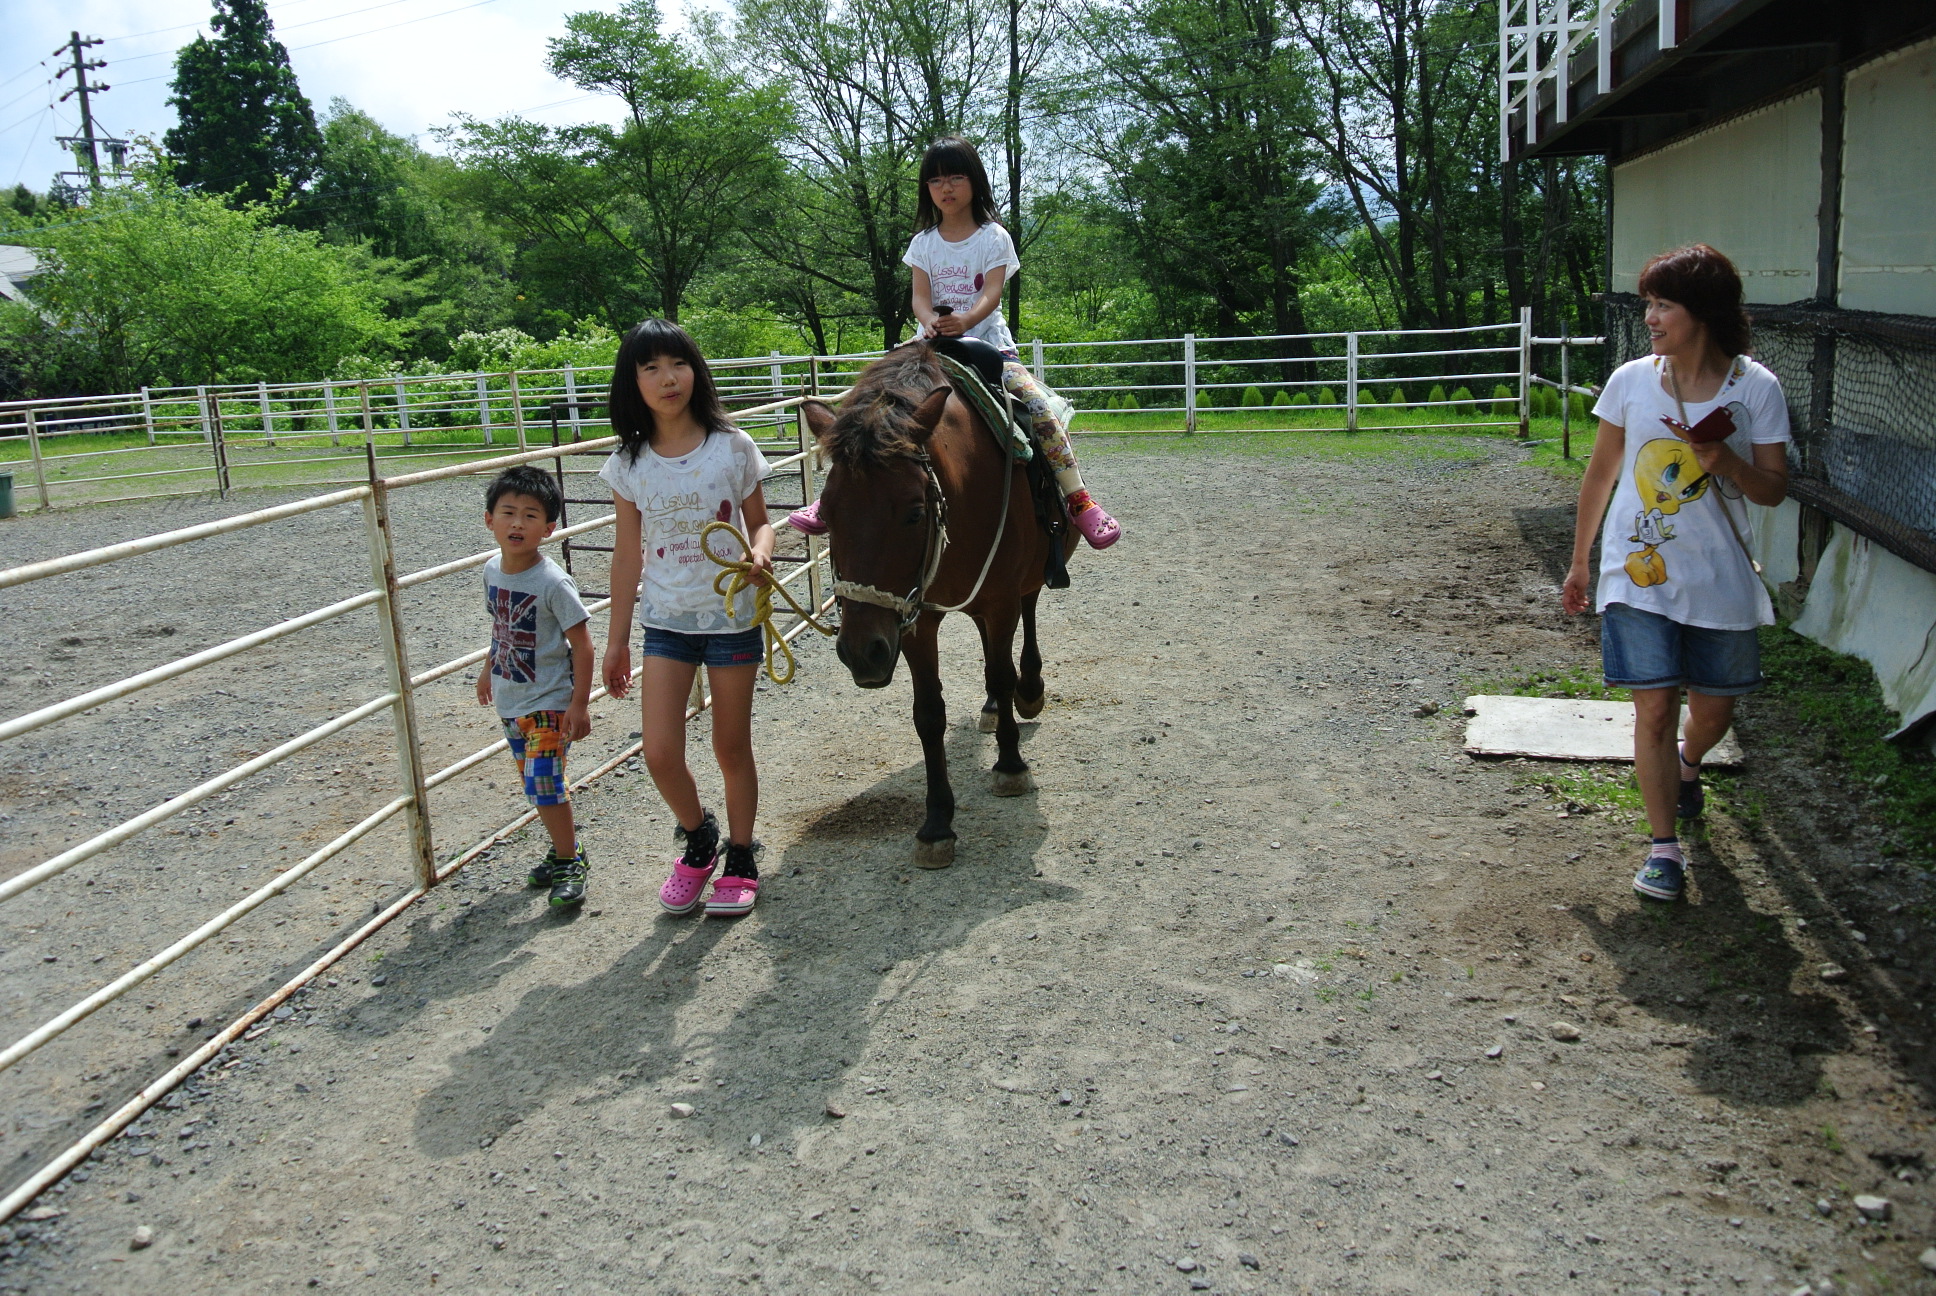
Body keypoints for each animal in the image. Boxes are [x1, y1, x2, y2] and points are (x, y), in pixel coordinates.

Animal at [801, 342, 1079, 868]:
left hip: (1024, 583)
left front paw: (1010, 765)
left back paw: (1029, 691)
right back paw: (992, 708)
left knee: (1027, 621)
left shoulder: (1000, 600)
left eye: (914, 512)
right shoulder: (913, 619)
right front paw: (936, 824)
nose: (861, 653)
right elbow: (929, 712)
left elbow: (1002, 673)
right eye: (826, 513)